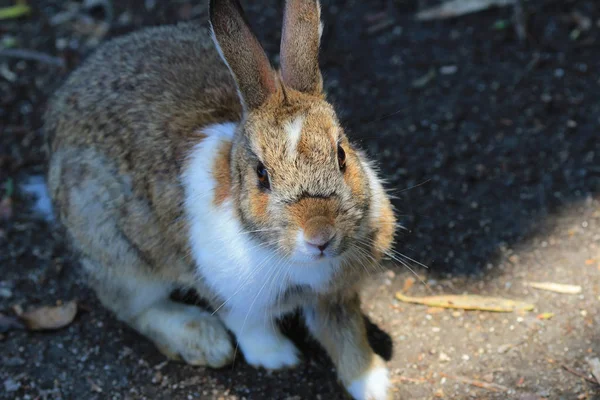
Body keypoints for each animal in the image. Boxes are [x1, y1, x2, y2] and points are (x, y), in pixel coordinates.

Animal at [45, 0, 398, 400]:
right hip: (116, 251)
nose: (320, 236)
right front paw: (278, 357)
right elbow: (249, 327)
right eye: (262, 175)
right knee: (132, 307)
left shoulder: (336, 296)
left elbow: (347, 337)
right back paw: (203, 341)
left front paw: (375, 385)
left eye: (341, 155)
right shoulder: (224, 290)